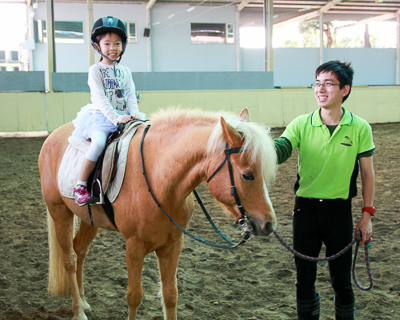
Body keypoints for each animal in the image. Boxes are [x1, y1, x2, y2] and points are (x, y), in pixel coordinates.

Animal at [38, 108, 278, 320]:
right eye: (247, 175)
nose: (268, 224)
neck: (158, 178)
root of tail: (52, 137)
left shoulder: (172, 245)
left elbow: (170, 295)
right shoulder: (134, 247)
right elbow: (134, 296)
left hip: (90, 220)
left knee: (80, 251)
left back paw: (84, 301)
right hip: (59, 212)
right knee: (69, 258)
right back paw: (78, 310)